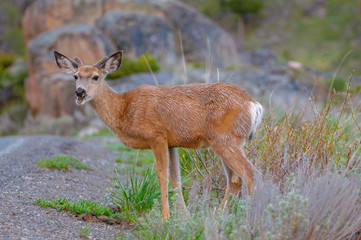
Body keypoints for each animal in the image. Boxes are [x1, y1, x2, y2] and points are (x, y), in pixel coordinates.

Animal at [52, 50, 262, 219]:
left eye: (95, 77)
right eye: (76, 76)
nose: (80, 92)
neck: (124, 109)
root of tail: (254, 105)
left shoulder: (157, 136)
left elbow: (162, 176)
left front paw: (165, 218)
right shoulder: (172, 143)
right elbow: (176, 180)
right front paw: (184, 218)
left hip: (226, 139)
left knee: (251, 173)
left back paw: (248, 219)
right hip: (224, 141)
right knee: (235, 179)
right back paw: (218, 216)